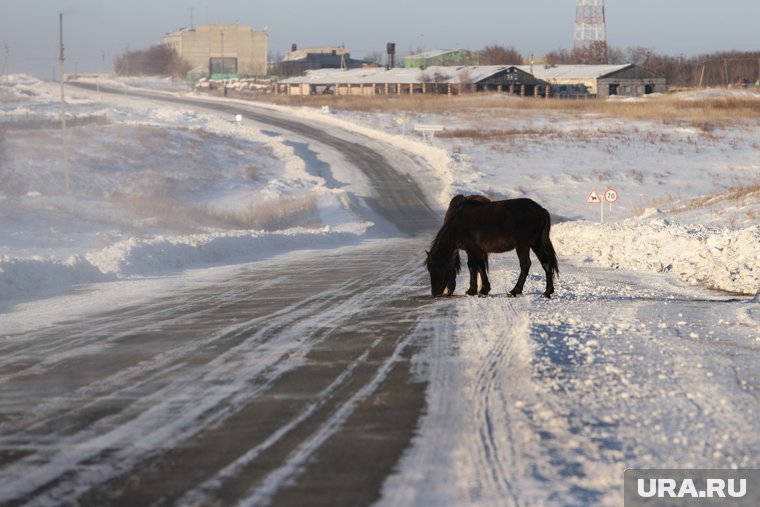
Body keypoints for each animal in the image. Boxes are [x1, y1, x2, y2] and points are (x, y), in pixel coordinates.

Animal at [424, 194, 560, 298]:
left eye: (438, 267)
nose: (435, 293)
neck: (459, 223)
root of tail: (541, 210)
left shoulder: (475, 250)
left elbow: (480, 267)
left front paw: (483, 290)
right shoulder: (470, 250)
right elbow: (473, 267)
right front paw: (472, 290)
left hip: (523, 246)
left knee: (525, 265)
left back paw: (514, 291)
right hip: (536, 244)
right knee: (546, 264)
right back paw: (547, 292)